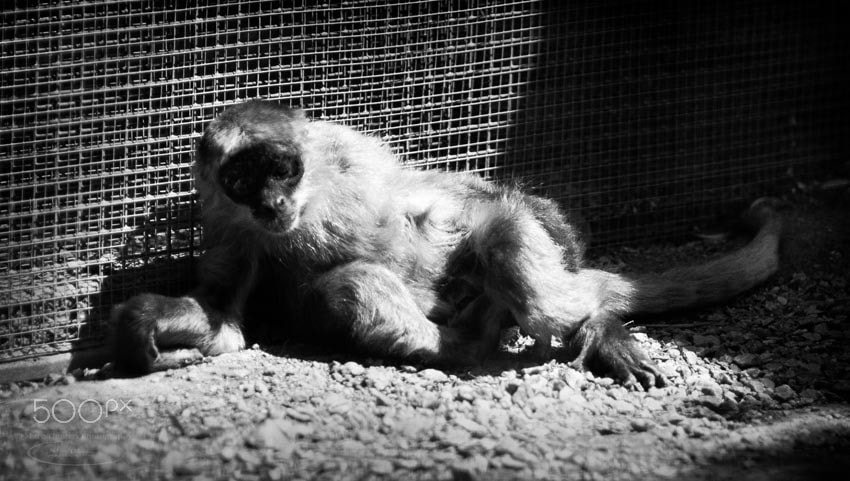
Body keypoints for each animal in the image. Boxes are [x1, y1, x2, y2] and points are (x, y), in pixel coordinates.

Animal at [110, 100, 783, 389]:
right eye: (242, 182)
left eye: (280, 170)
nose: (271, 204)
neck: (306, 207)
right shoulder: (226, 221)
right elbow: (224, 324)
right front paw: (143, 326)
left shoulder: (346, 154)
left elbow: (437, 197)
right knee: (349, 286)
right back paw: (463, 343)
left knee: (505, 232)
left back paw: (589, 326)